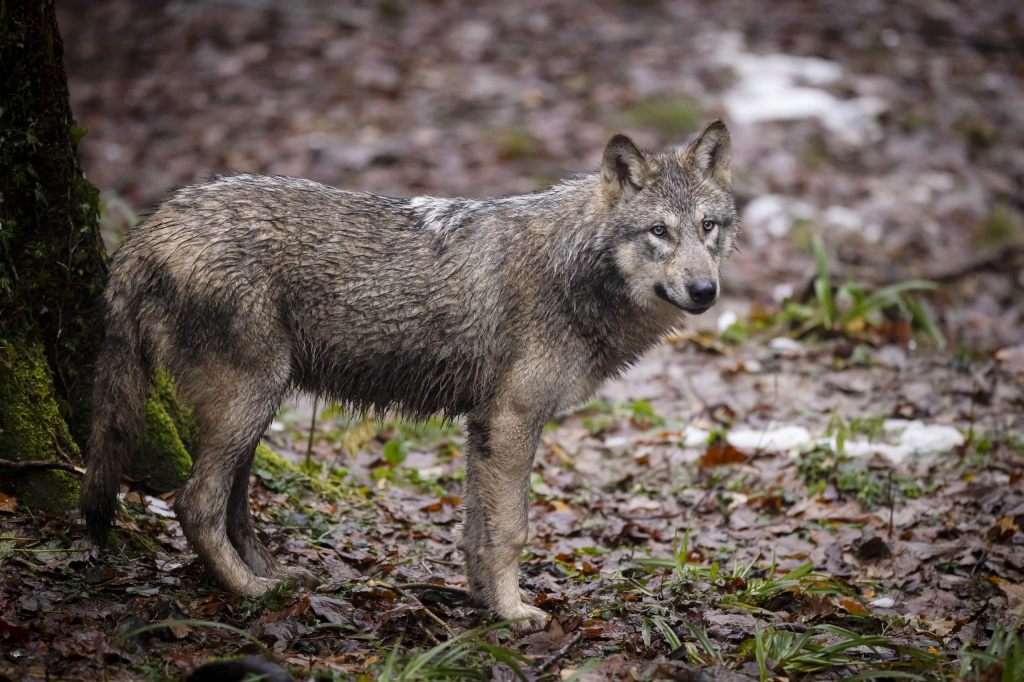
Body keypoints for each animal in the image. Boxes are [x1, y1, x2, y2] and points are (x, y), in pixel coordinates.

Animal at [81, 120, 737, 630]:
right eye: (659, 232)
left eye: (708, 227)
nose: (705, 291)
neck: (573, 269)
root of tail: (149, 227)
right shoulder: (512, 421)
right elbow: (511, 531)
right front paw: (515, 614)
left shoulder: (484, 427)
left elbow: (476, 532)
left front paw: (484, 604)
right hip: (248, 404)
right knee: (195, 503)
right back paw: (249, 592)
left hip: (252, 412)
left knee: (232, 504)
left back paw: (273, 573)